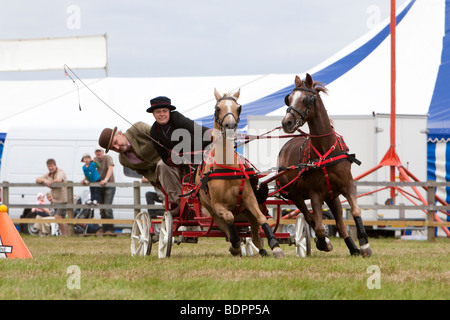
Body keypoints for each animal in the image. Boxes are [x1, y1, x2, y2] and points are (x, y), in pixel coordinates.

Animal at [193, 89, 284, 258]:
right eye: (218, 108)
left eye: (238, 108)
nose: (230, 125)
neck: (227, 167)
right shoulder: (217, 206)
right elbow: (229, 218)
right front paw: (235, 245)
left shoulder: (250, 199)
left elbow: (261, 218)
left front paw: (275, 246)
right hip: (211, 211)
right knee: (227, 227)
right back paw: (235, 246)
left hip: (248, 210)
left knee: (254, 232)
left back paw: (260, 249)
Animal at [278, 74, 372, 258]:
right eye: (289, 99)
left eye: (306, 99)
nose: (287, 123)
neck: (324, 151)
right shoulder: (315, 193)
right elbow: (320, 227)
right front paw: (323, 243)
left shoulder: (347, 186)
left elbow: (355, 212)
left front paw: (364, 245)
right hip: (296, 195)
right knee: (310, 218)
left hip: (331, 196)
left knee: (340, 225)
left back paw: (353, 248)